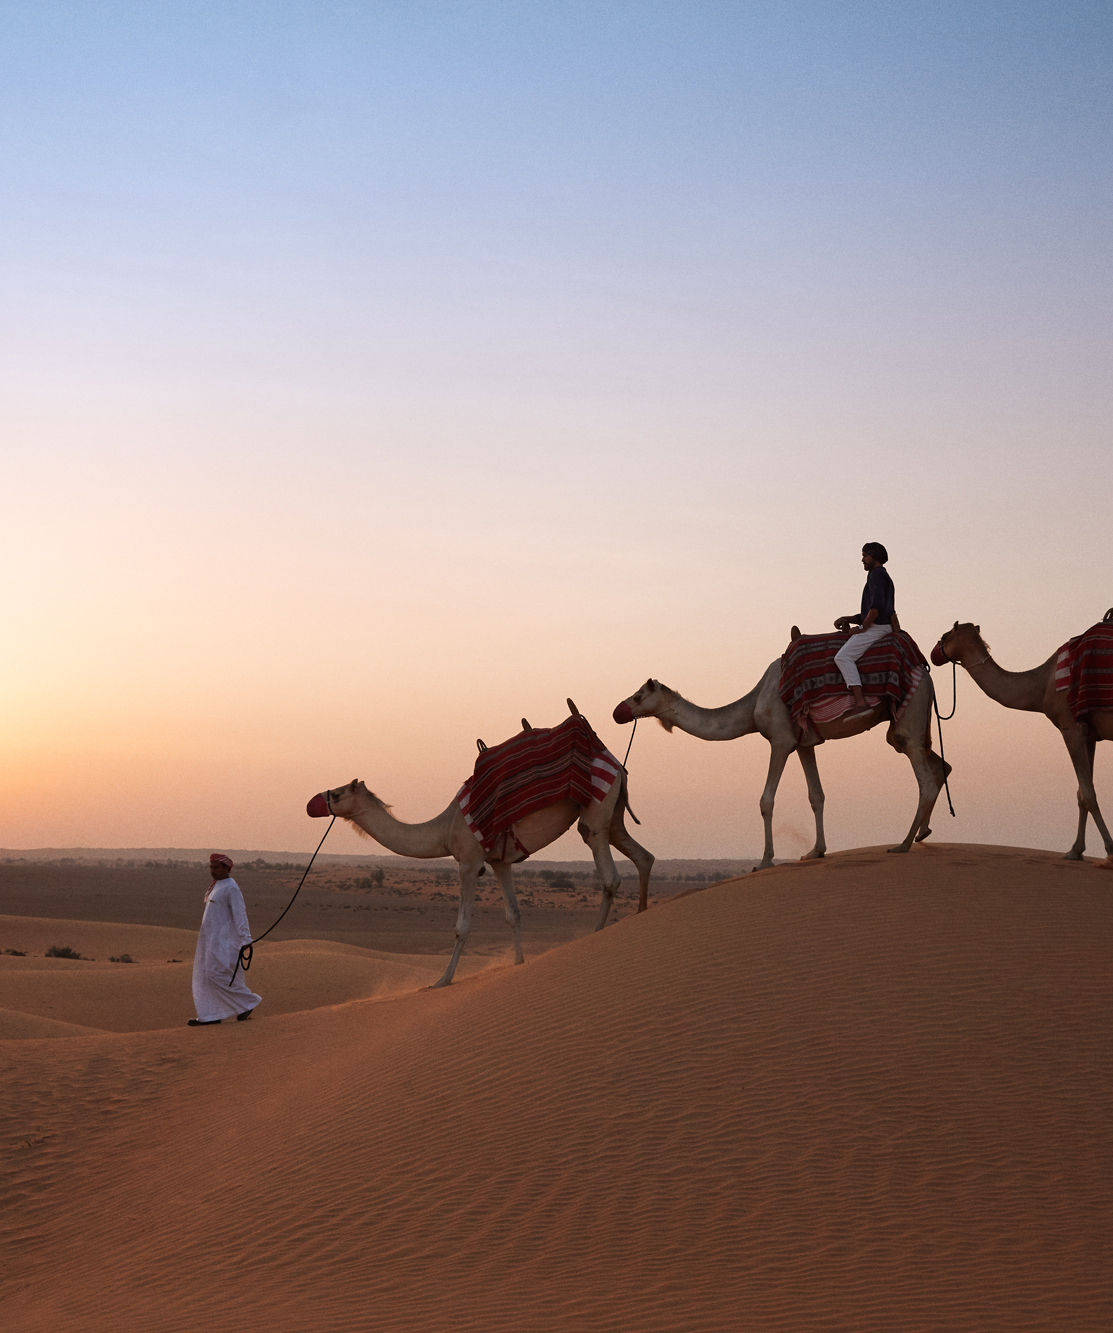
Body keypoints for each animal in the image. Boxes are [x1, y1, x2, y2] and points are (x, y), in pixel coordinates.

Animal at [305, 757, 653, 986]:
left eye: (337, 793)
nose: (312, 803)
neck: (445, 829)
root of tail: (616, 765)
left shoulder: (469, 861)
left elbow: (462, 926)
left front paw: (443, 980)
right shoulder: (500, 861)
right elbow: (513, 914)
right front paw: (518, 962)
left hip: (596, 808)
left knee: (609, 874)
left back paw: (596, 934)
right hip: (614, 815)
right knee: (643, 856)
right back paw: (641, 912)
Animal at [610, 637, 949, 869]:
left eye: (638, 696)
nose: (617, 711)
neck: (754, 703)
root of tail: (927, 673)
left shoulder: (781, 741)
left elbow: (766, 800)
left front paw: (764, 860)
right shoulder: (805, 743)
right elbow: (816, 795)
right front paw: (815, 851)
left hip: (910, 713)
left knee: (924, 779)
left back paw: (903, 844)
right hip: (912, 725)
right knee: (939, 765)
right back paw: (923, 833)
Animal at [933, 615, 1113, 863]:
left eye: (944, 636)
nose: (932, 653)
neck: (1041, 685)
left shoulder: (1071, 728)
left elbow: (1088, 793)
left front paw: (1110, 851)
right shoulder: (1089, 735)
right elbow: (1081, 792)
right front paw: (1075, 850)